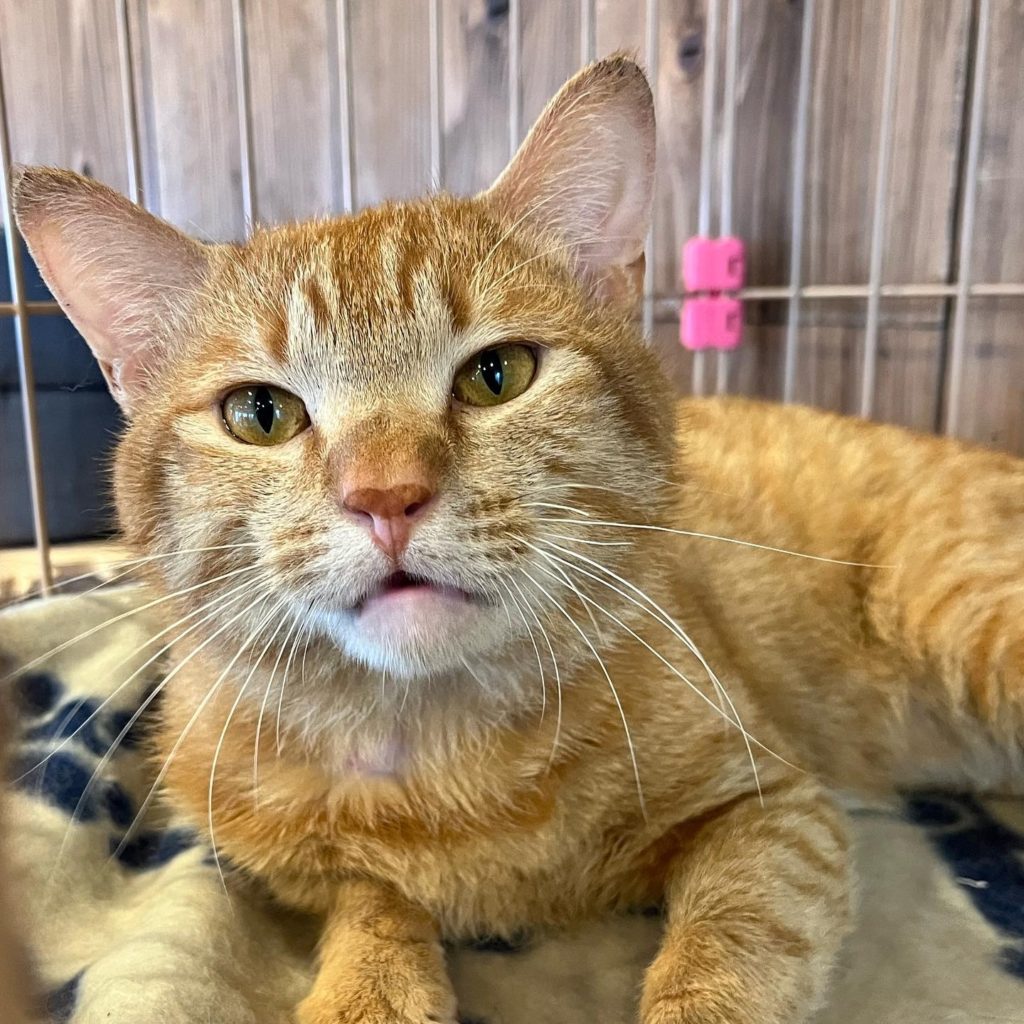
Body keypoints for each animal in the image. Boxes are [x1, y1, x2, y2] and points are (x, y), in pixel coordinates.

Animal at [12, 55, 1024, 1024]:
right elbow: (366, 896)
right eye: (260, 414)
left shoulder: (774, 809)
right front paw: (369, 985)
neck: (434, 756)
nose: (386, 496)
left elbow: (731, 946)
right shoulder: (293, 867)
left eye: (498, 374)